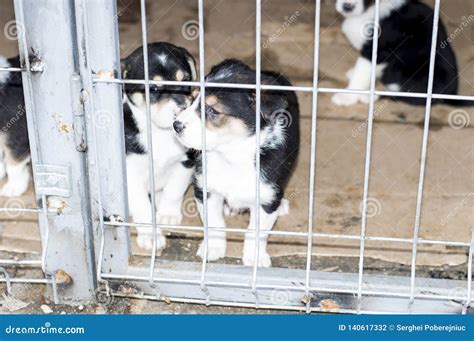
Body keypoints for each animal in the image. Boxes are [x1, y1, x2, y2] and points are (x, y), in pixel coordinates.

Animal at [122, 41, 198, 250]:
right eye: (154, 89)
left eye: (185, 80)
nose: (182, 111)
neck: (161, 133)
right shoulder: (130, 171)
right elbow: (141, 205)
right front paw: (151, 235)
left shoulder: (186, 162)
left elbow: (174, 190)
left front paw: (168, 214)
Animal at [174, 59, 300, 266]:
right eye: (192, 100)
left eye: (212, 110)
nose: (175, 125)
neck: (232, 154)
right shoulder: (206, 190)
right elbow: (214, 223)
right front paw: (213, 249)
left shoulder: (265, 198)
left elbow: (256, 232)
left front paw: (255, 258)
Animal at [332, 0, 472, 106]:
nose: (347, 7)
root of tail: (451, 94)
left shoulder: (377, 52)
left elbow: (361, 75)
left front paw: (347, 96)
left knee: (402, 96)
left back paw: (371, 97)